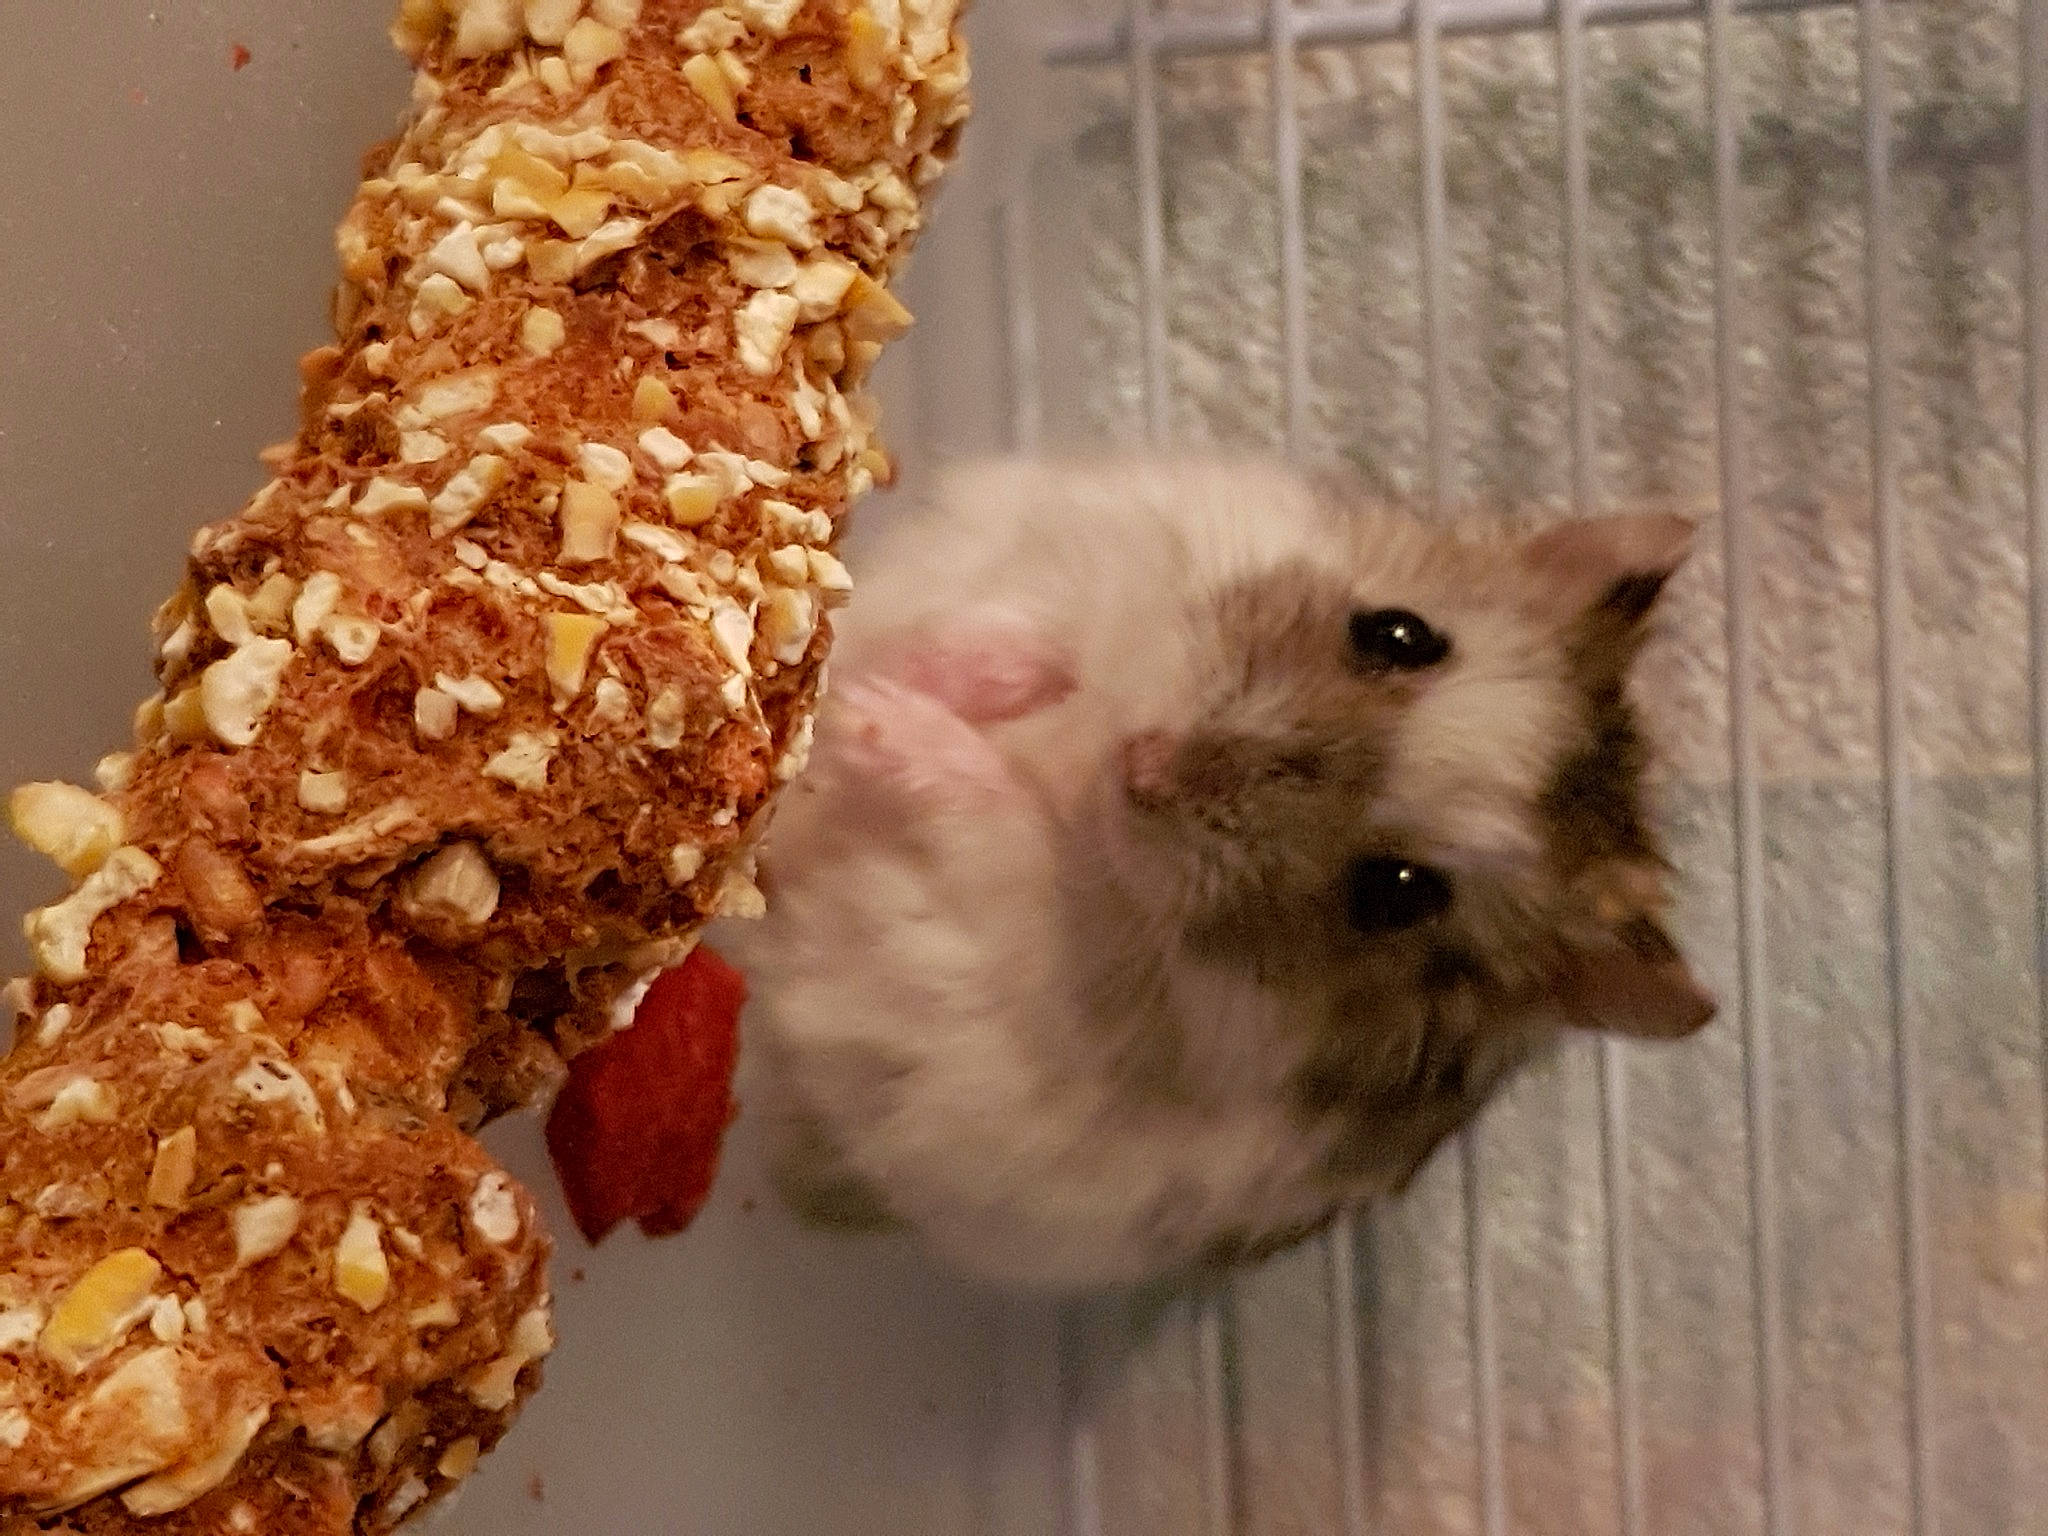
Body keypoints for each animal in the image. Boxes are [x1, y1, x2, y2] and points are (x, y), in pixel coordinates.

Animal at [721, 456, 1714, 1292]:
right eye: (1399, 632)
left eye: (1398, 892)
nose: (1144, 765)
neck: (1089, 784)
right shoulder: (1090, 553)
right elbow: (1021, 629)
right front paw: (947, 676)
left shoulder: (1023, 929)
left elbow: (990, 809)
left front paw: (876, 718)